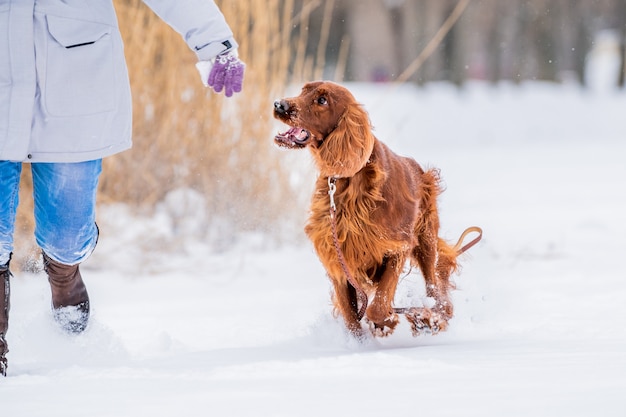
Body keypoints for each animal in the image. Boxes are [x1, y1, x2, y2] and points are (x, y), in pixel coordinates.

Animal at [272, 81, 478, 338]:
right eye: (303, 90)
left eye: (322, 100)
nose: (279, 105)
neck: (349, 179)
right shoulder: (338, 261)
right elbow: (352, 320)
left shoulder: (396, 247)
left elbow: (378, 305)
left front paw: (386, 322)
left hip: (426, 242)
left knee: (435, 288)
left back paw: (430, 317)